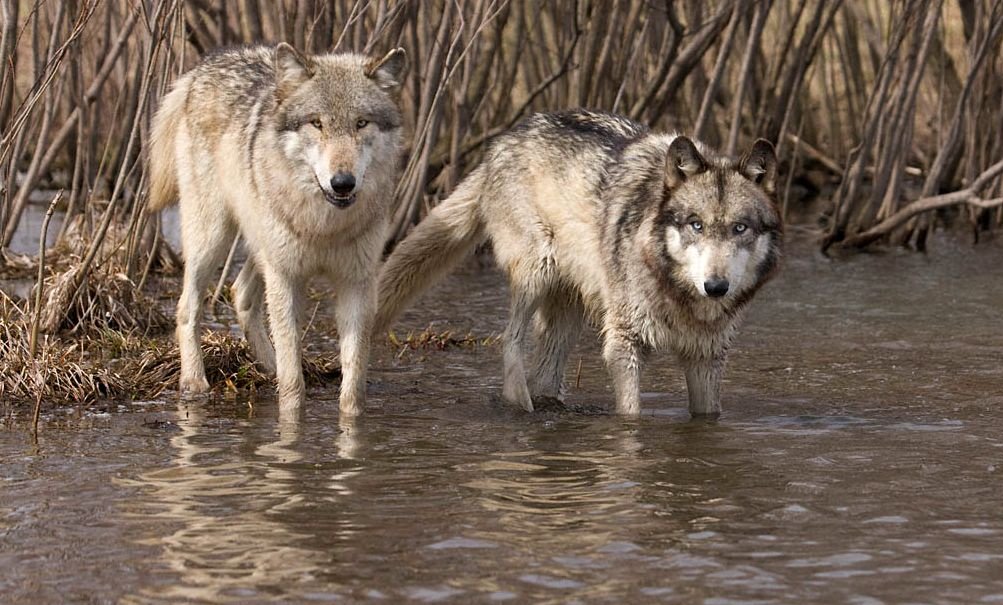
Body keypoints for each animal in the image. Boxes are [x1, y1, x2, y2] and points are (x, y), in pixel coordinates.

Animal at [148, 43, 407, 414]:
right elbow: (293, 381)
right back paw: (194, 382)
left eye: (361, 124)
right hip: (213, 240)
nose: (342, 183)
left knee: (240, 295)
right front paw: (290, 417)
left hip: (261, 246)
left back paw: (269, 367)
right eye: (317, 123)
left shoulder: (356, 282)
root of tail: (204, 66)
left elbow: (353, 379)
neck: (325, 227)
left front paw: (351, 421)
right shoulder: (285, 276)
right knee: (187, 308)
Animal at [374, 110, 782, 416]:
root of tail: (502, 141)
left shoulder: (706, 359)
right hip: (537, 271)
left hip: (568, 314)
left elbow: (708, 414)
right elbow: (631, 413)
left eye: (740, 228)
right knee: (510, 339)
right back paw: (520, 404)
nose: (716, 287)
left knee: (544, 372)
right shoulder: (624, 344)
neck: (676, 292)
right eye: (696, 224)